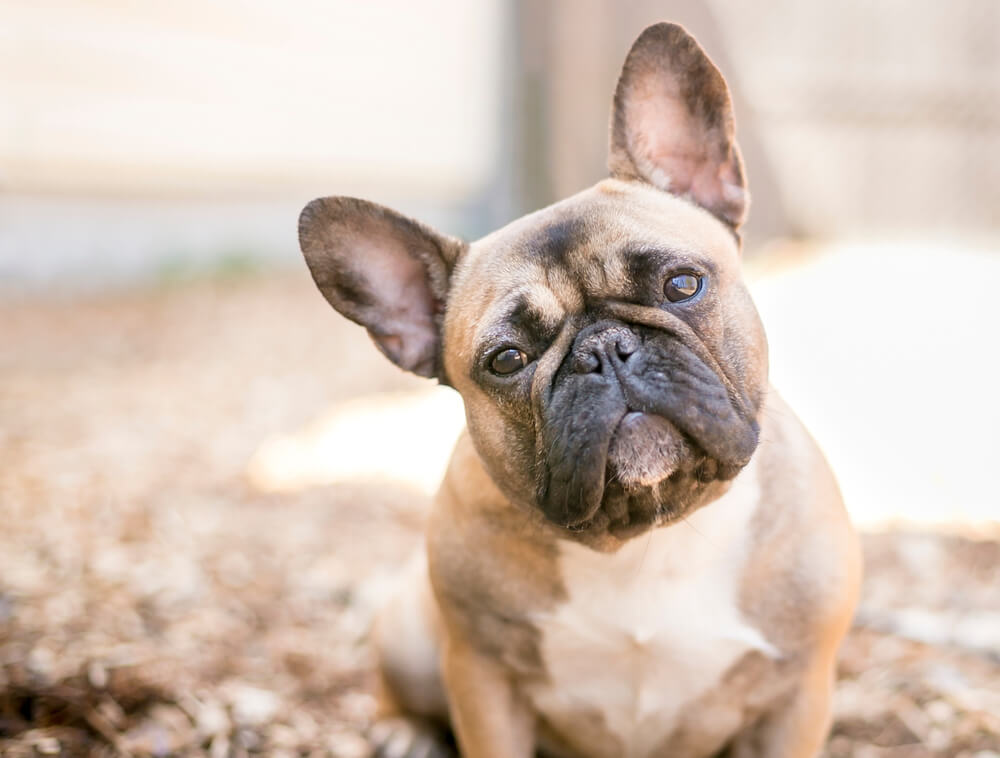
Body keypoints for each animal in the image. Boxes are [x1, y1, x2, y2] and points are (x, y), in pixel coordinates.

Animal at [294, 20, 860, 756]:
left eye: (683, 284)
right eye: (507, 359)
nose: (604, 350)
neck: (649, 534)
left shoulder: (796, 692)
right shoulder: (483, 681)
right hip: (415, 634)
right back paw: (404, 732)